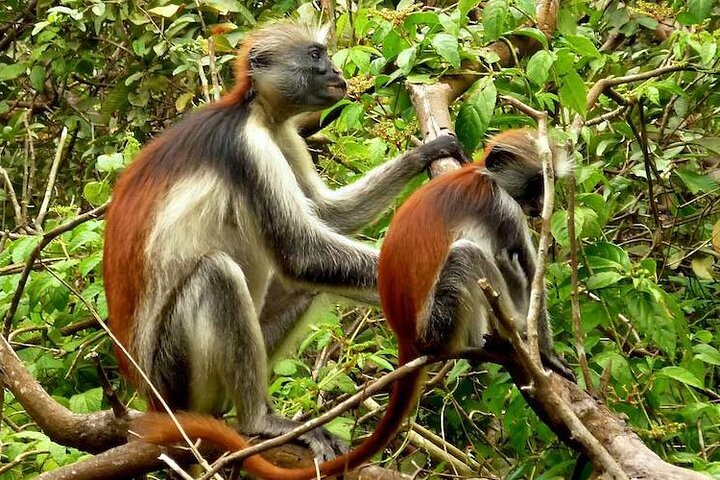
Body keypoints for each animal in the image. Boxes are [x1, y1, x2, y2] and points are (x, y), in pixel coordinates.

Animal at [103, 19, 467, 465]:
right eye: (315, 56)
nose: (336, 72)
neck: (256, 112)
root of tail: (153, 398)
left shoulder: (284, 136)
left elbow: (328, 215)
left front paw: (426, 153)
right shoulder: (248, 149)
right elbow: (301, 253)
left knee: (302, 286)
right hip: (175, 373)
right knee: (218, 274)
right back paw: (258, 420)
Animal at [132, 129, 573, 479]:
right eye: (535, 184)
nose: (540, 205)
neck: (481, 175)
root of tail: (409, 337)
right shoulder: (504, 208)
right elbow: (525, 268)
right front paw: (546, 355)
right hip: (439, 320)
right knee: (471, 256)